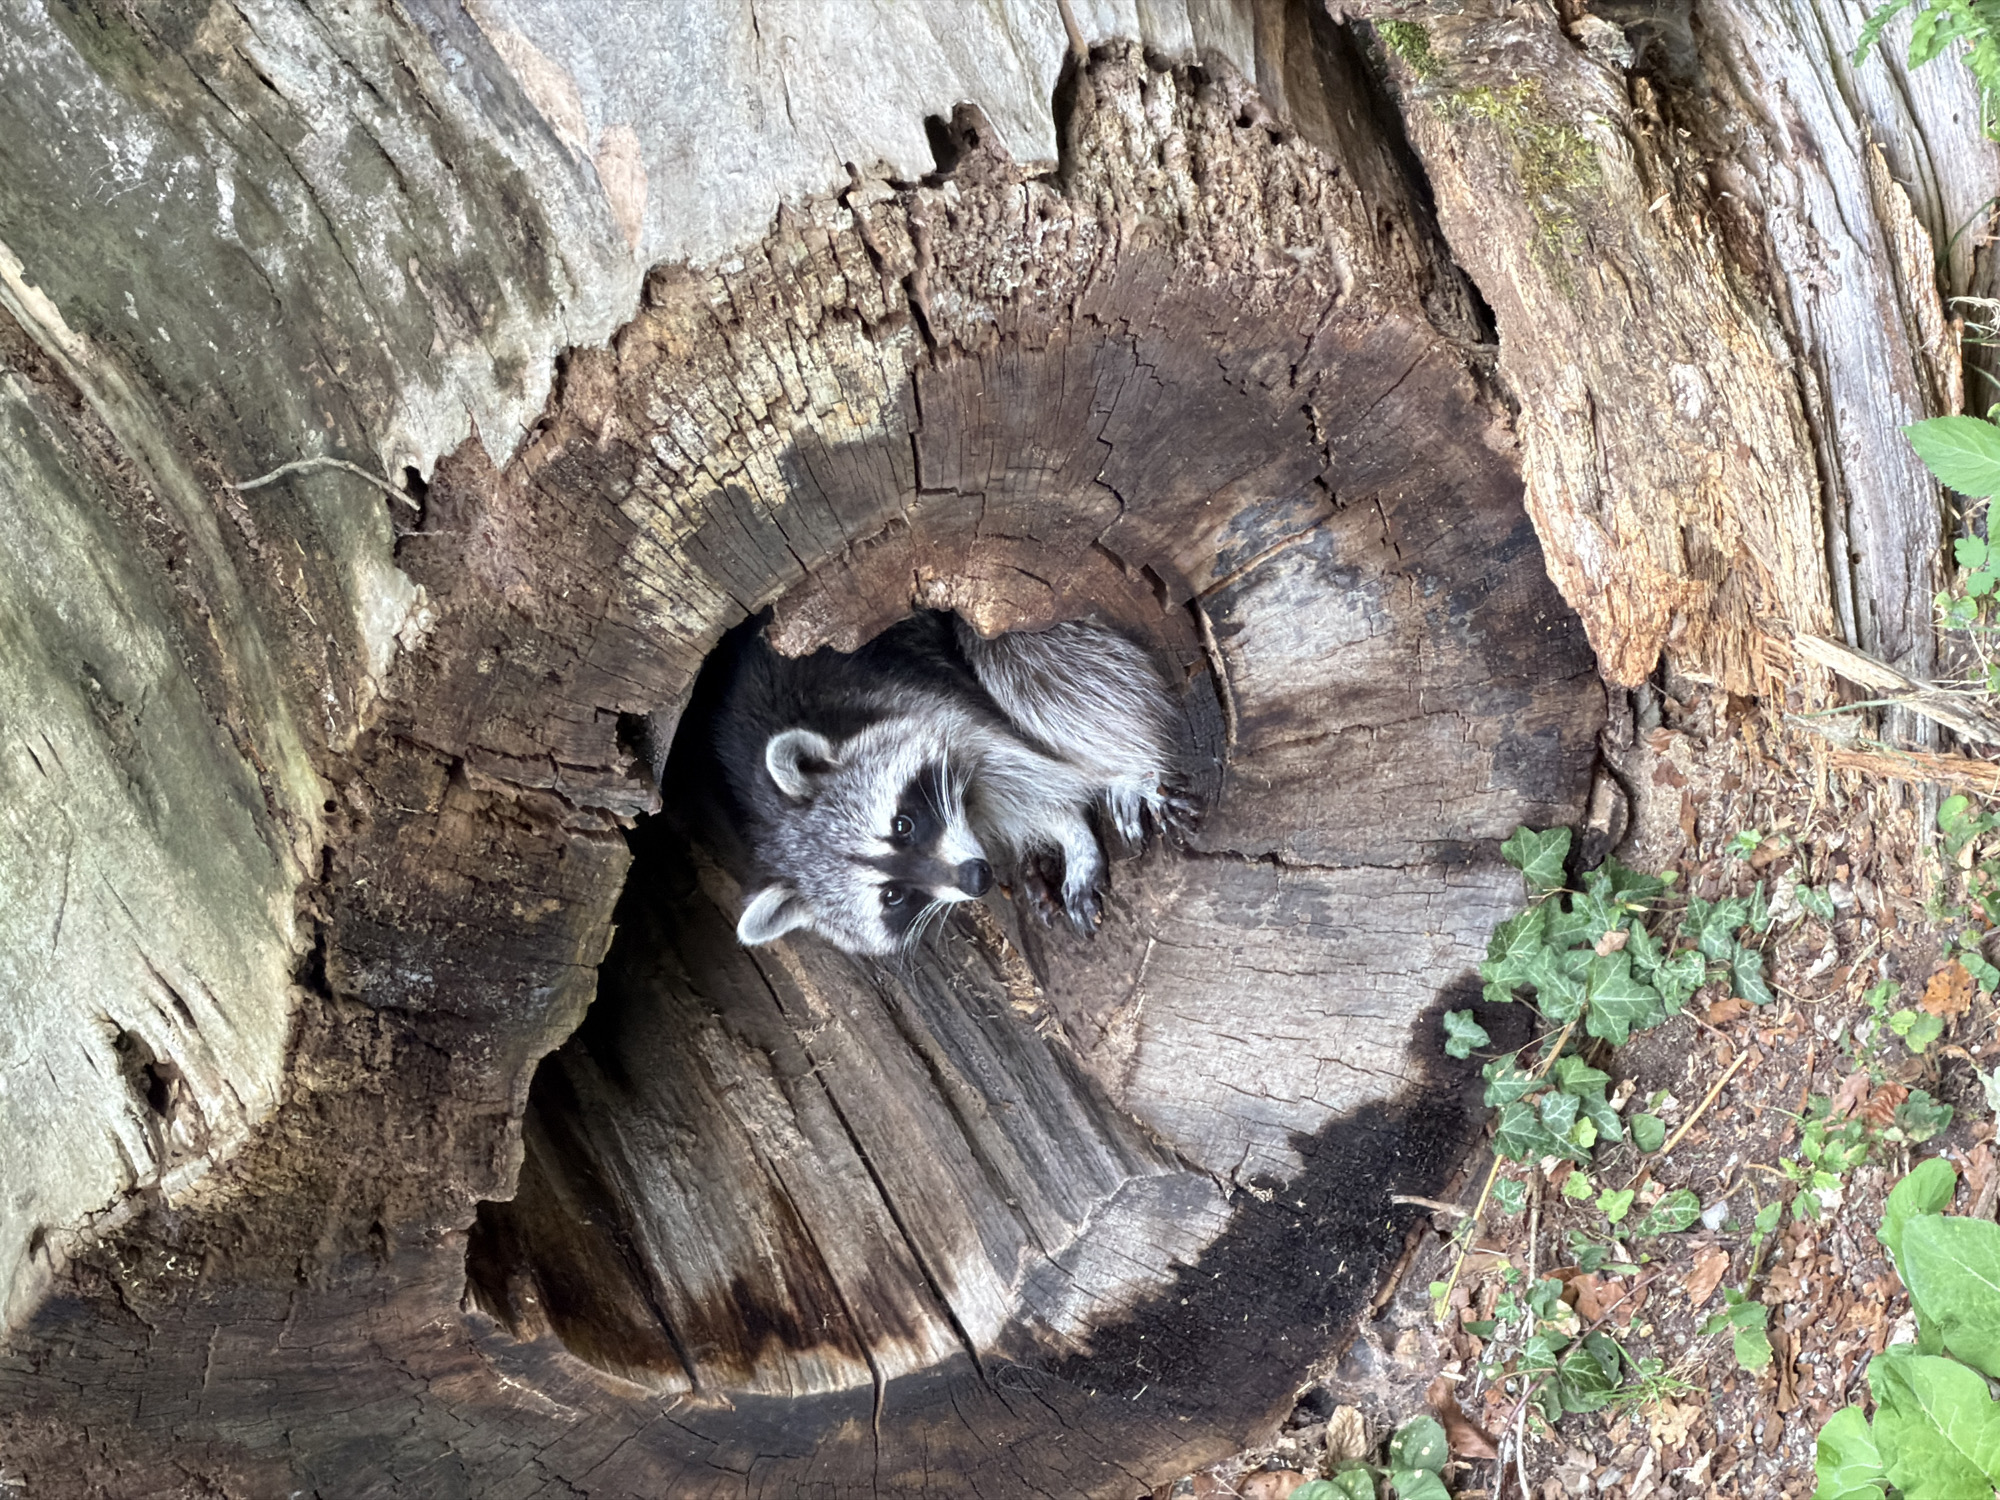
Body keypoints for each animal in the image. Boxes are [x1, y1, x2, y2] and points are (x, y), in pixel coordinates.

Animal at [690, 611, 1192, 956]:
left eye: (903, 825)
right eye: (892, 896)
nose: (977, 878)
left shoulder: (913, 693)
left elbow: (1023, 773)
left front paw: (1089, 811)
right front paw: (1067, 832)